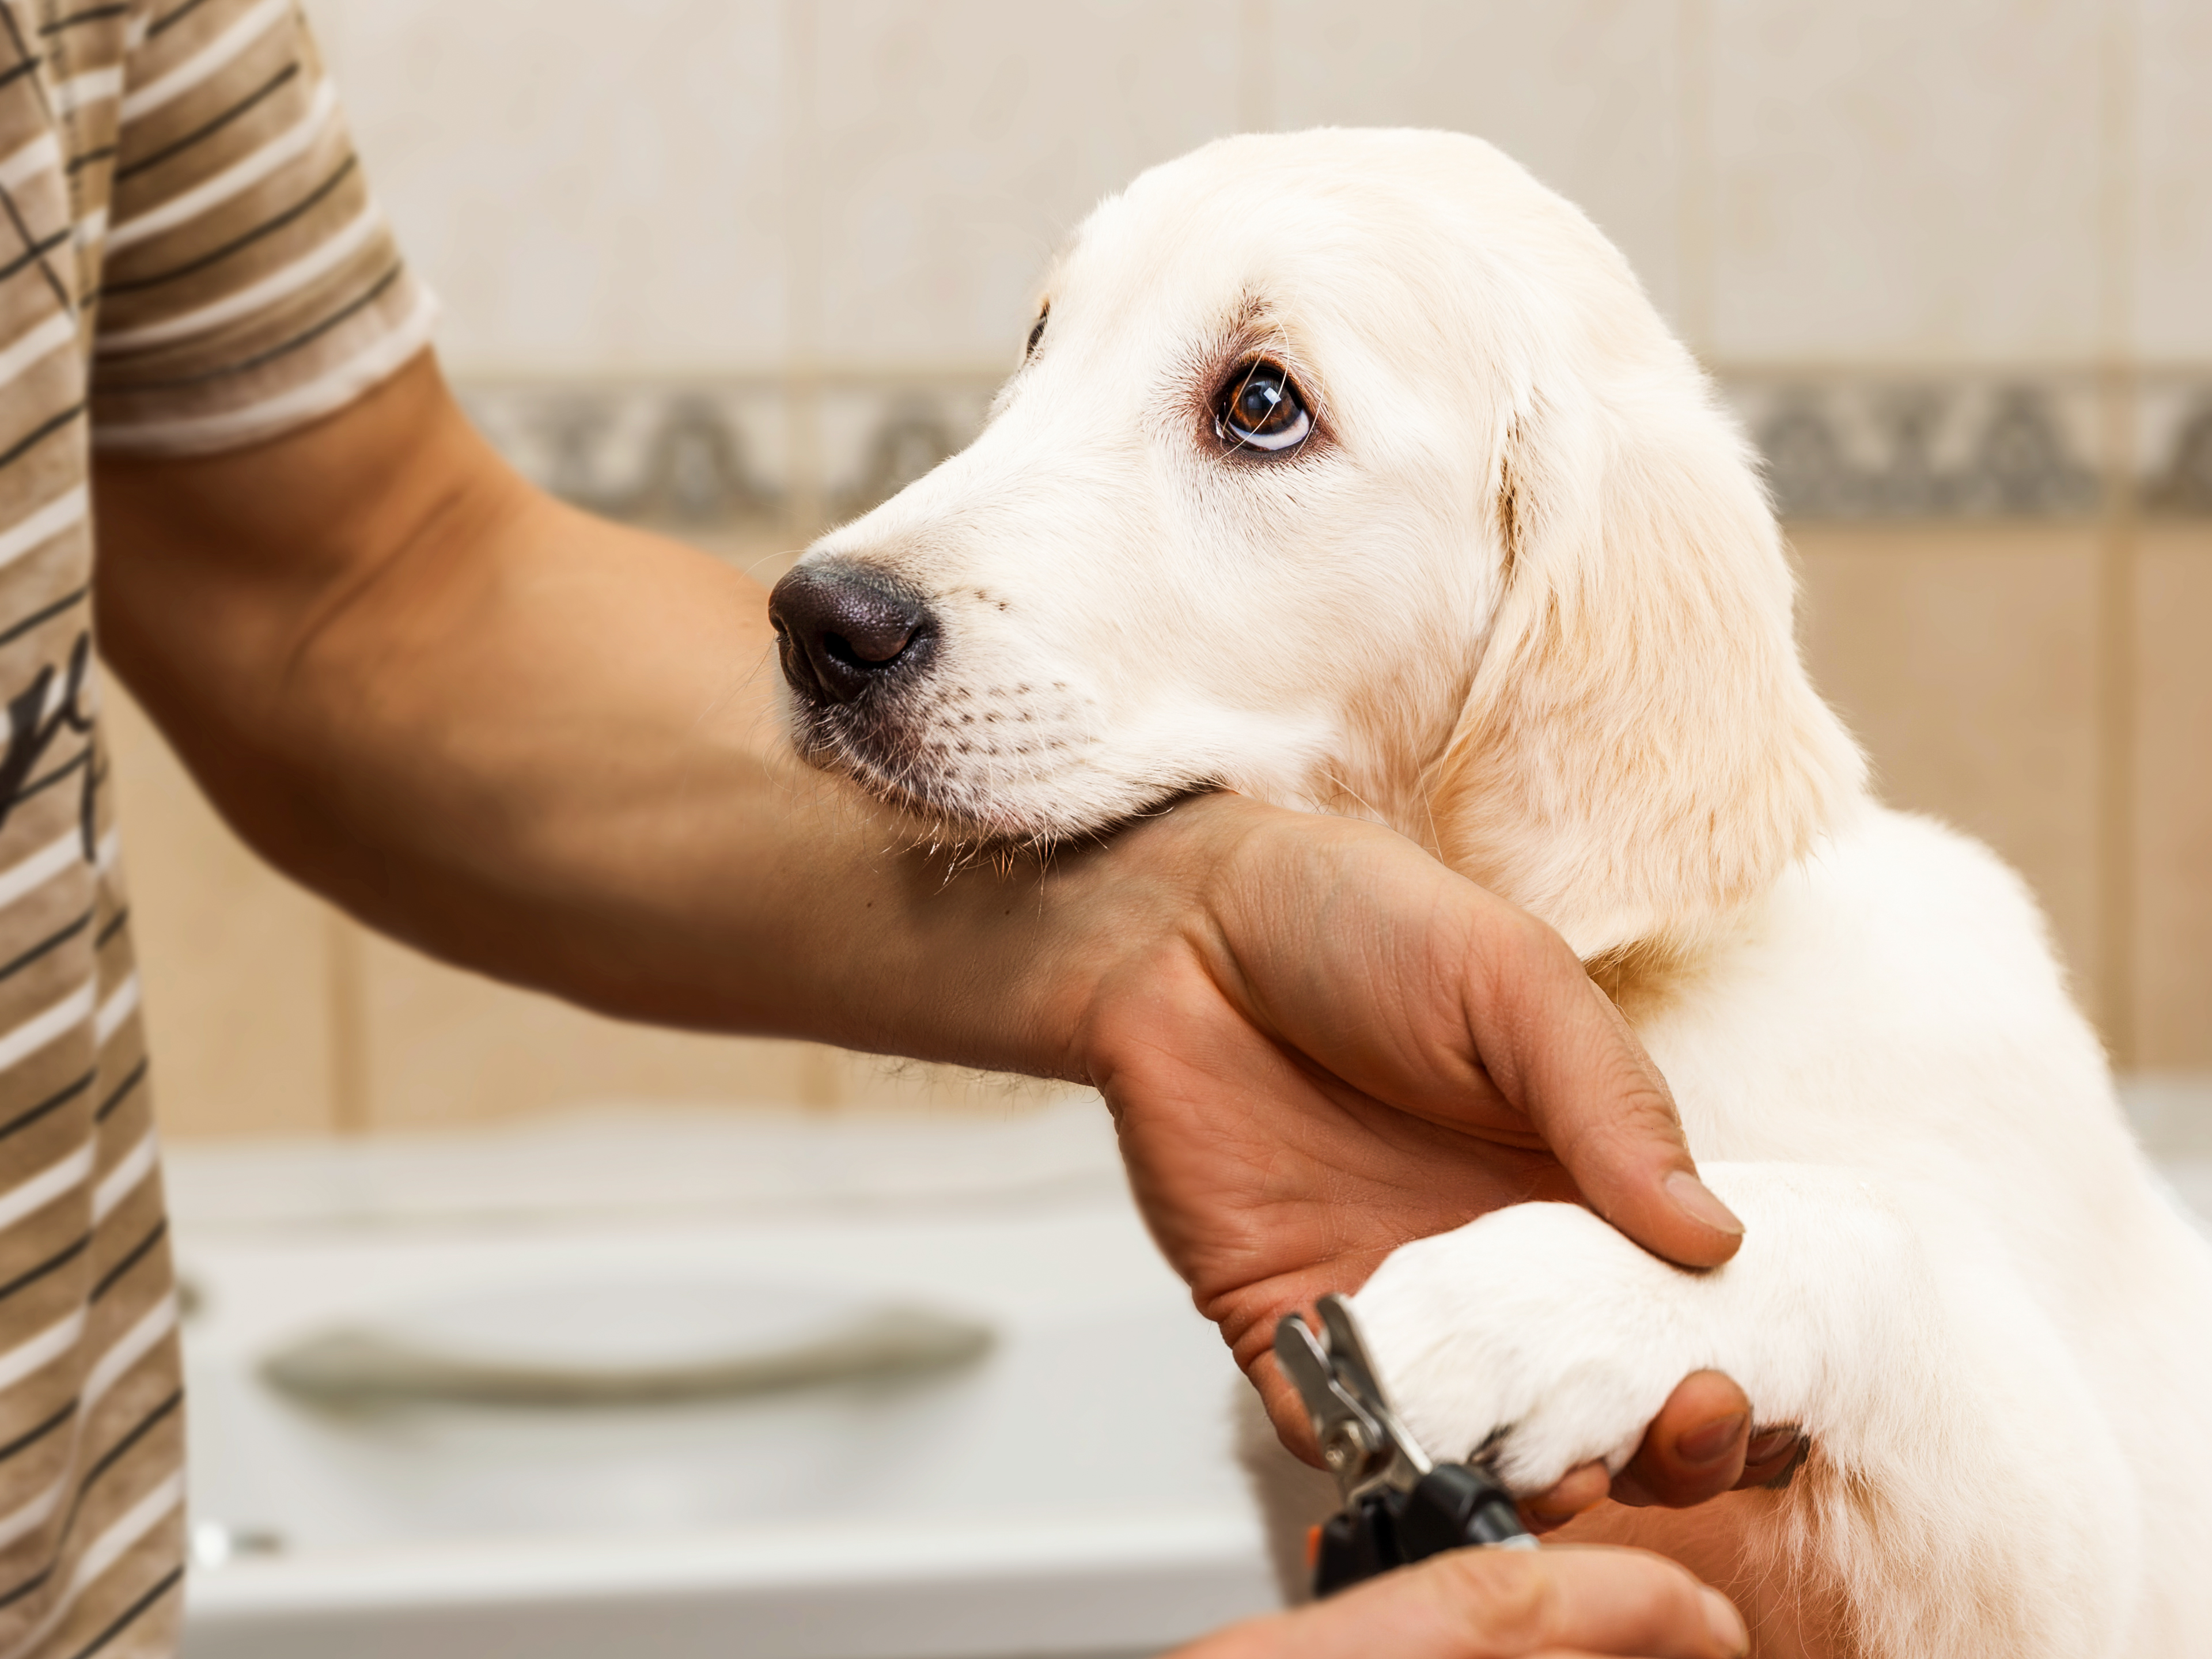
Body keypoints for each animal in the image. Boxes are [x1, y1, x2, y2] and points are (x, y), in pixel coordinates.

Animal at [765, 130, 2212, 1659]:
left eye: (1262, 405)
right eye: (1043, 340)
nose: (817, 623)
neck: (1649, 990)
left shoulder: (2076, 1564)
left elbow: (1875, 1238)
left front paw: (1529, 1305)